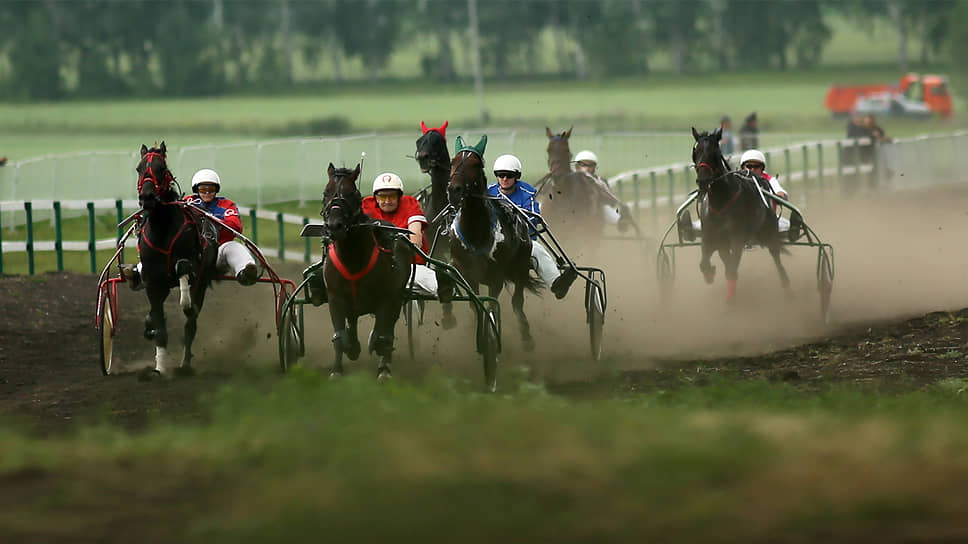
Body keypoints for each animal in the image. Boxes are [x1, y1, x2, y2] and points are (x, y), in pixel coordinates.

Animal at [322, 164, 412, 380]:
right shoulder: (335, 296)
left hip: (396, 298)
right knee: (354, 320)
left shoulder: (387, 298)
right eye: (326, 192)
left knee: (387, 328)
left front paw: (383, 367)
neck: (353, 260)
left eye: (352, 193)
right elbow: (339, 335)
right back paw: (354, 347)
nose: (334, 226)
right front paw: (337, 370)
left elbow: (383, 334)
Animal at [440, 134, 540, 350]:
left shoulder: (497, 276)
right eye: (452, 161)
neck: (476, 232)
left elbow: (492, 305)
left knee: (517, 301)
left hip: (520, 267)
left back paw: (526, 336)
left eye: (475, 164)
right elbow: (475, 304)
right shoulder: (466, 273)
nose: (454, 190)